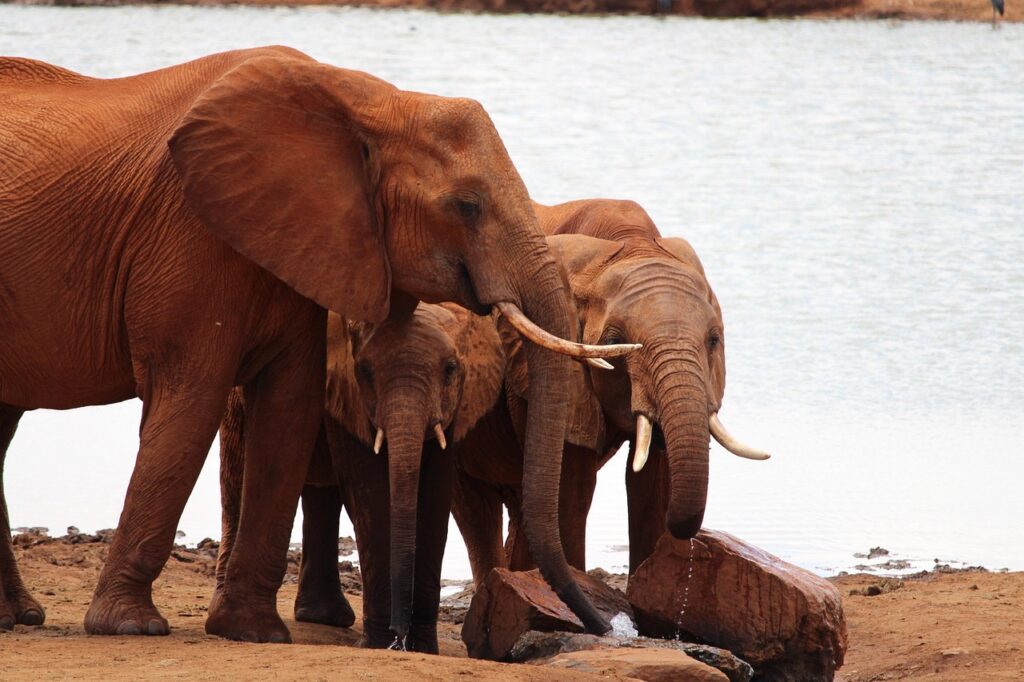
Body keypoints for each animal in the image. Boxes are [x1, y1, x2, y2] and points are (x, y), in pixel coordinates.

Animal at [219, 303, 504, 652]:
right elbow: (369, 494)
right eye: (365, 370)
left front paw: (423, 647)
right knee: (236, 475)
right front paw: (380, 643)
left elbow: (435, 499)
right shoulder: (347, 392)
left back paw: (325, 617)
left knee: (322, 495)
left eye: (451, 368)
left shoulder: (456, 406)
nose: (399, 637)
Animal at [451, 198, 770, 586]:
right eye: (615, 342)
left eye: (713, 340)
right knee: (477, 511)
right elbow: (571, 492)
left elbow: (650, 488)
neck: (629, 244)